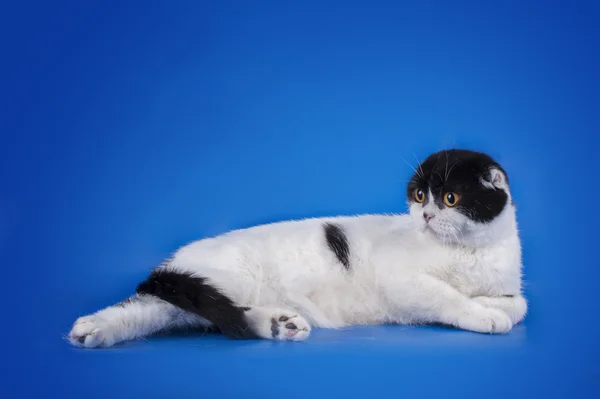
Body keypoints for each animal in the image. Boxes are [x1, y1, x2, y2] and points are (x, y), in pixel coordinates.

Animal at [69, 148, 524, 348]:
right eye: (419, 196)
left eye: (450, 198)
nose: (426, 216)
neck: (466, 251)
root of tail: (173, 262)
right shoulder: (403, 281)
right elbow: (448, 296)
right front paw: (484, 315)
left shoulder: (507, 284)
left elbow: (518, 304)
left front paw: (491, 306)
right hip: (225, 280)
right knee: (169, 306)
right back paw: (90, 328)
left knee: (173, 313)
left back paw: (279, 324)